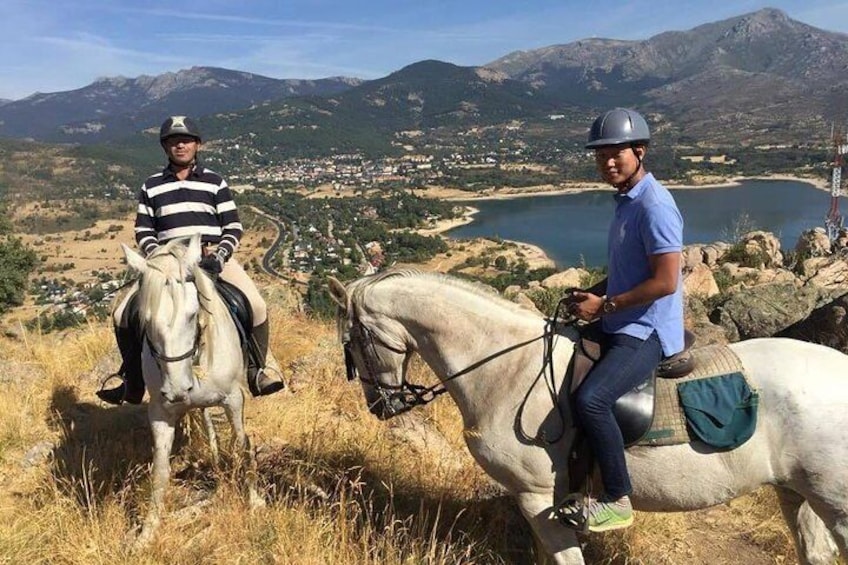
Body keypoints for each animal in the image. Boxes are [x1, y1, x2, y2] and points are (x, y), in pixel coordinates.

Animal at [124, 235, 264, 548]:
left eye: (192, 314)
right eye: (145, 321)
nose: (177, 390)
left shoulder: (234, 399)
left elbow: (242, 444)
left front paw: (254, 500)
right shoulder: (160, 412)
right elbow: (160, 470)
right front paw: (147, 533)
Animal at [328, 270, 848, 564]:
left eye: (351, 342)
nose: (382, 406)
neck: (508, 369)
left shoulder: (538, 496)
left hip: (834, 503)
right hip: (795, 493)